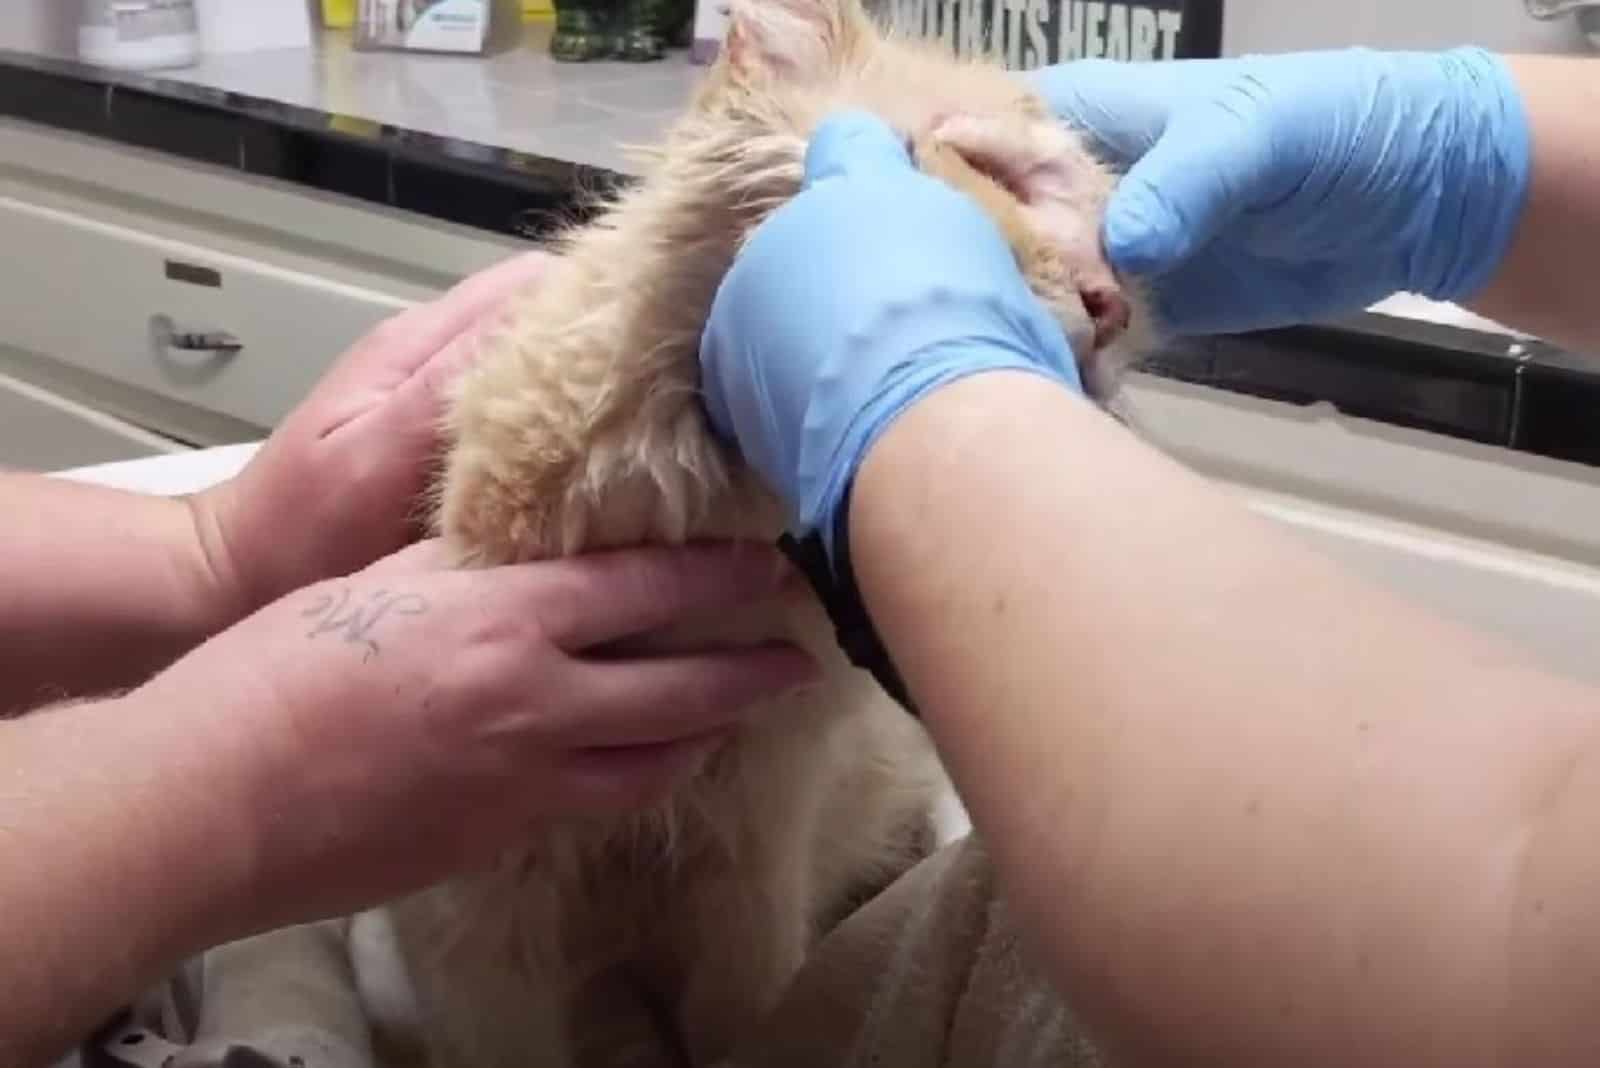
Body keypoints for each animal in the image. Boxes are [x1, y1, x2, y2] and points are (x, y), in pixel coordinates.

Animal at [353, 2, 1152, 1068]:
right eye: (993, 171)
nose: (1116, 309)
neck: (726, 517)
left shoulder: (752, 872)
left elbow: (747, 1020)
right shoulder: (486, 919)